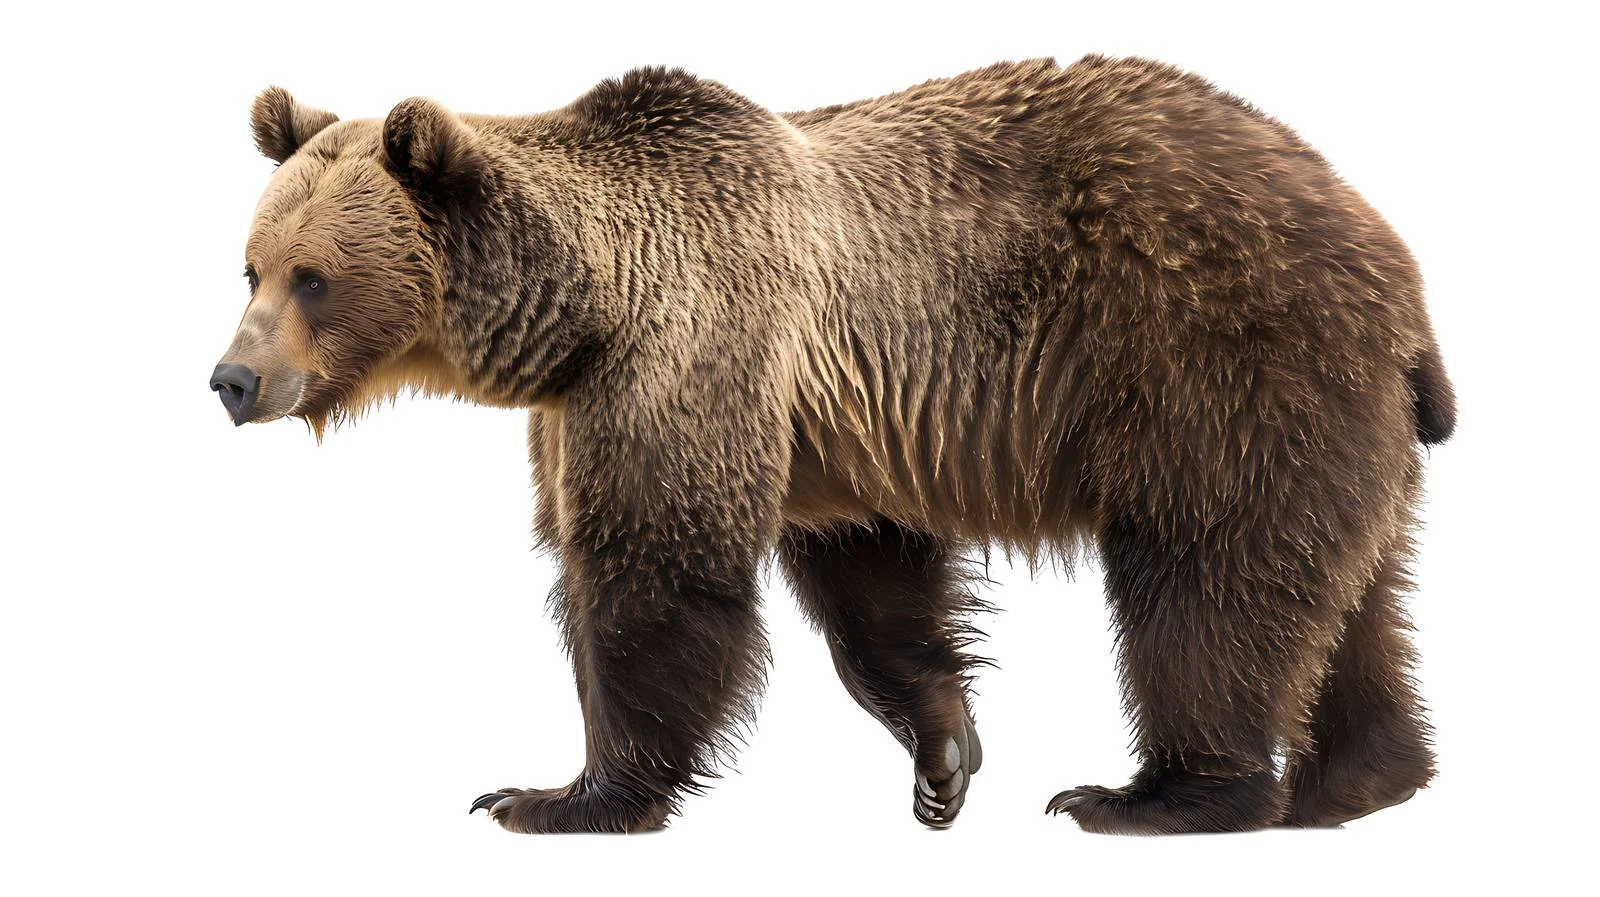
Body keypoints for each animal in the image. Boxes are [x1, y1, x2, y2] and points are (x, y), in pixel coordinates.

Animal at [211, 55, 1454, 835]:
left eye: (312, 277)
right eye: (250, 265)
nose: (232, 381)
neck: (579, 314)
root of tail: (1387, 257)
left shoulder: (687, 350)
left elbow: (654, 573)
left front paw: (561, 796)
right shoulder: (817, 433)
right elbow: (872, 580)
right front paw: (944, 757)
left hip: (1216, 356)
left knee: (1207, 579)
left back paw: (1156, 798)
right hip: (1336, 415)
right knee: (1350, 591)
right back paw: (1358, 781)